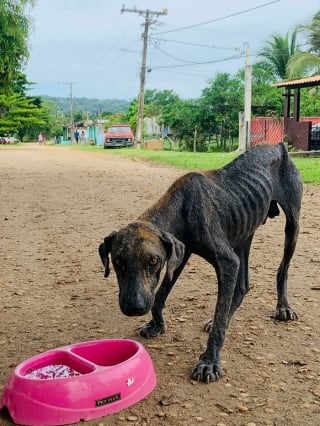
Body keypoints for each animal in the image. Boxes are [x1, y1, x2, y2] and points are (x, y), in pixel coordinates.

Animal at [99, 142, 302, 382]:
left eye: (153, 261)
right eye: (118, 261)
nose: (133, 307)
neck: (180, 207)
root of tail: (279, 145)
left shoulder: (226, 261)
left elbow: (219, 315)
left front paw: (209, 361)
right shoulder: (179, 255)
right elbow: (160, 295)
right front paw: (156, 324)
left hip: (292, 226)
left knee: (282, 270)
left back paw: (283, 307)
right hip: (245, 232)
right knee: (243, 285)